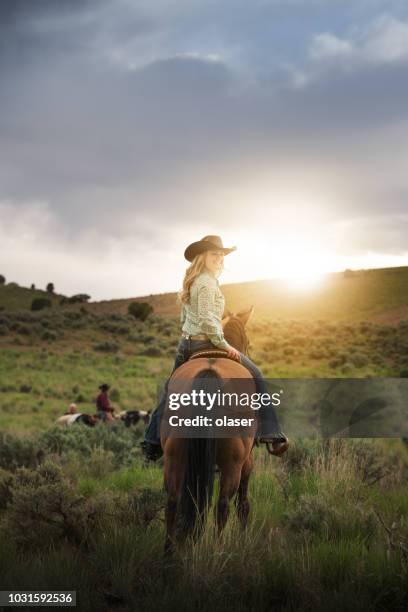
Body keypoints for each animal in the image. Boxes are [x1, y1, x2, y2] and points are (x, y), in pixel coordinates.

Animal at [160, 308, 286, 552]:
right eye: (248, 341)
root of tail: (209, 372)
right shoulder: (247, 463)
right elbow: (243, 504)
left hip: (174, 457)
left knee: (172, 502)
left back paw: (169, 553)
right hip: (232, 464)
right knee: (223, 505)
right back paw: (218, 550)